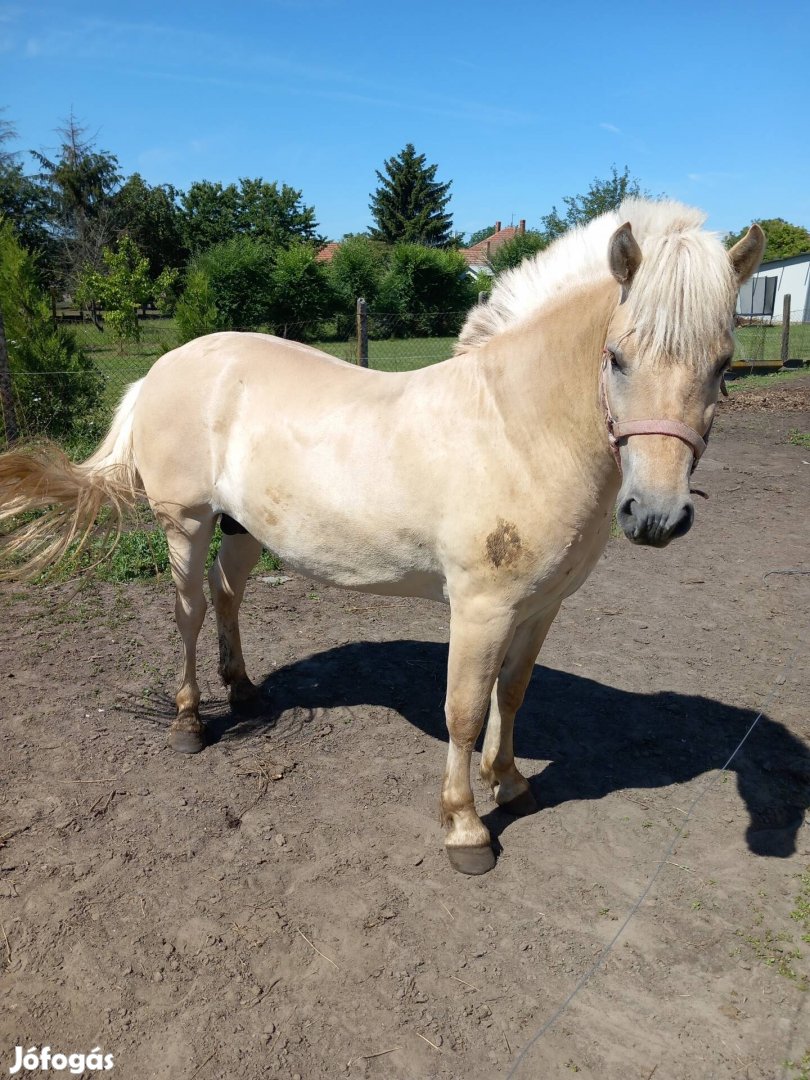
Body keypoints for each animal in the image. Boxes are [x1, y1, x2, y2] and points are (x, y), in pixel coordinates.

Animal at [0, 203, 764, 872]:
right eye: (616, 357)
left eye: (724, 364)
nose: (655, 517)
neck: (518, 428)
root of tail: (166, 365)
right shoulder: (480, 609)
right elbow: (463, 711)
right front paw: (465, 827)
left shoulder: (542, 607)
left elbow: (512, 694)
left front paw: (511, 782)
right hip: (184, 524)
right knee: (187, 612)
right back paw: (189, 722)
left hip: (243, 529)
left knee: (225, 597)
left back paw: (243, 689)